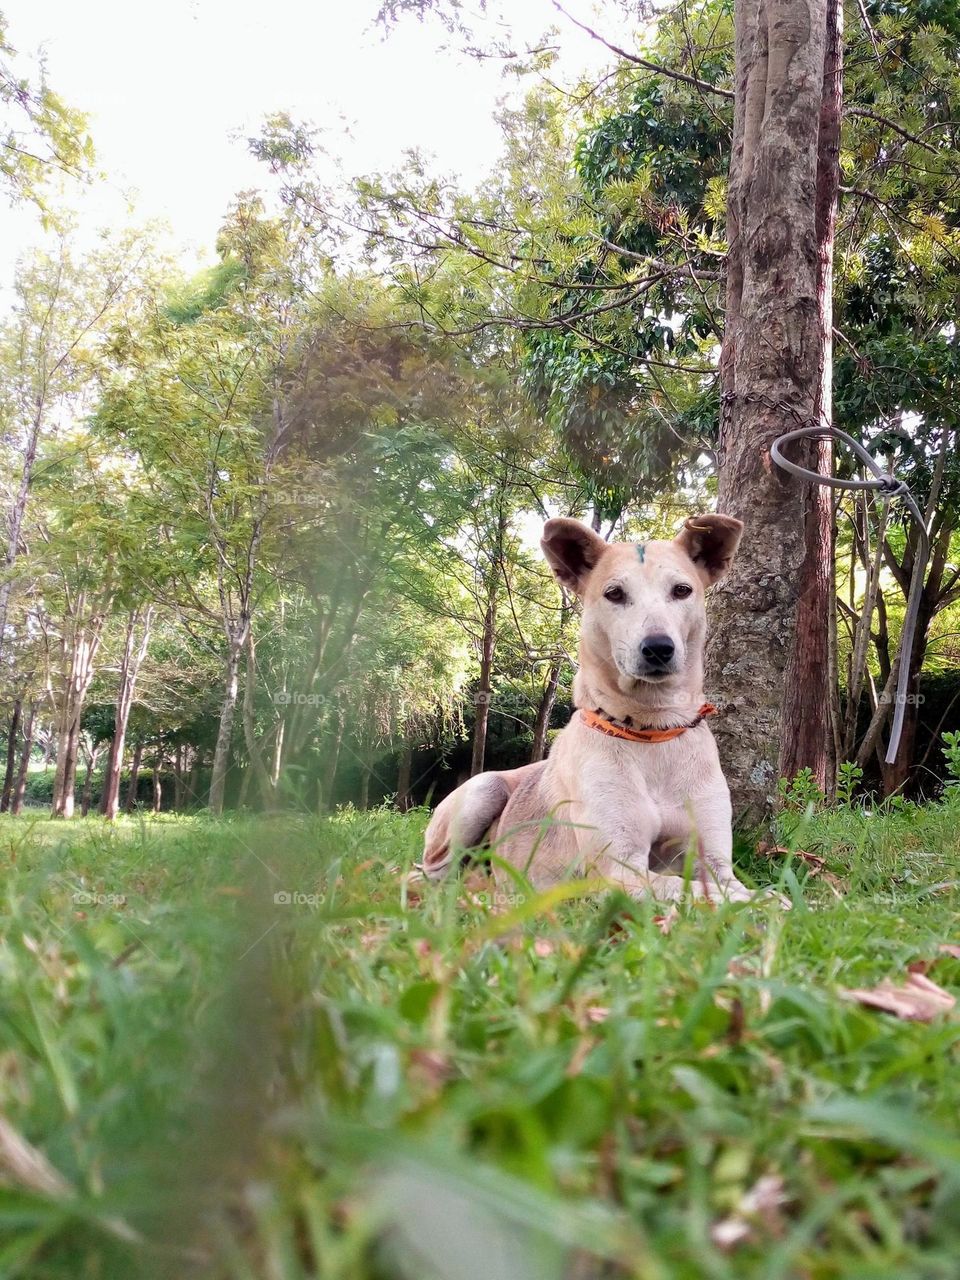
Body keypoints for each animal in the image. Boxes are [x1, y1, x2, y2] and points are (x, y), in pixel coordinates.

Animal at [424, 514, 773, 906]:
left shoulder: (715, 862)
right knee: (432, 873)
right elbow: (703, 893)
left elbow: (730, 888)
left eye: (682, 590)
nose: (658, 648)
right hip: (483, 790)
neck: (652, 728)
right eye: (614, 593)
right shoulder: (618, 870)